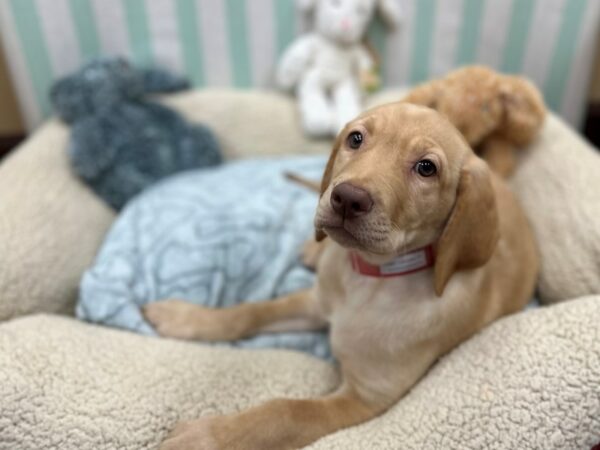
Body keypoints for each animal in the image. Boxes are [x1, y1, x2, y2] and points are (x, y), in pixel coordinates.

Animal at [143, 103, 536, 450]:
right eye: (356, 139)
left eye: (427, 168)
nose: (347, 198)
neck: (368, 278)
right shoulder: (316, 302)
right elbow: (250, 312)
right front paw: (187, 318)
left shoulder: (365, 396)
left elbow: (286, 413)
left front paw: (209, 437)